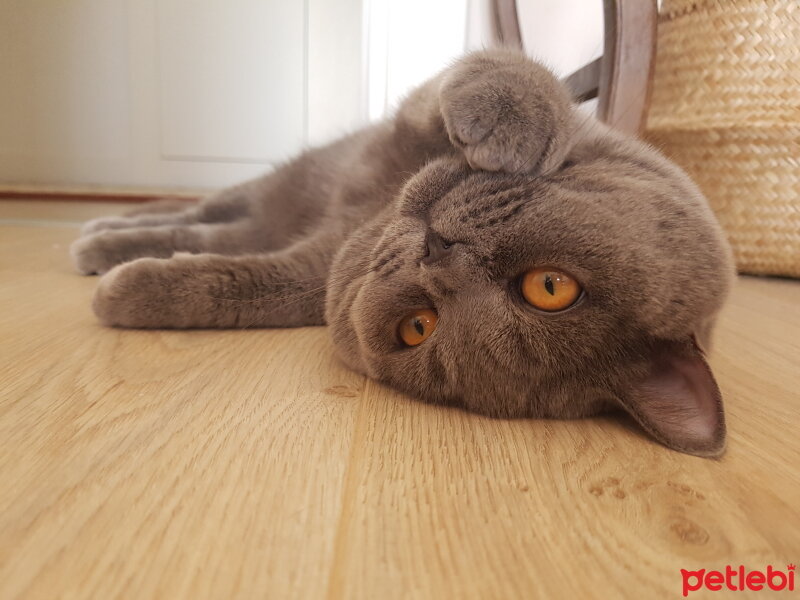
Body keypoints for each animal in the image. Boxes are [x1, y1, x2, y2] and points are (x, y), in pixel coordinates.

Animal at [72, 49, 736, 458]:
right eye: (553, 286)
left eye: (418, 326)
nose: (440, 253)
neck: (378, 206)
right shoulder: (414, 119)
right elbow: (511, 74)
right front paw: (514, 126)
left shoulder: (312, 272)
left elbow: (236, 282)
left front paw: (127, 293)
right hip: (276, 182)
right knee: (196, 210)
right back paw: (101, 227)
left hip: (268, 212)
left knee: (215, 229)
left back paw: (102, 248)